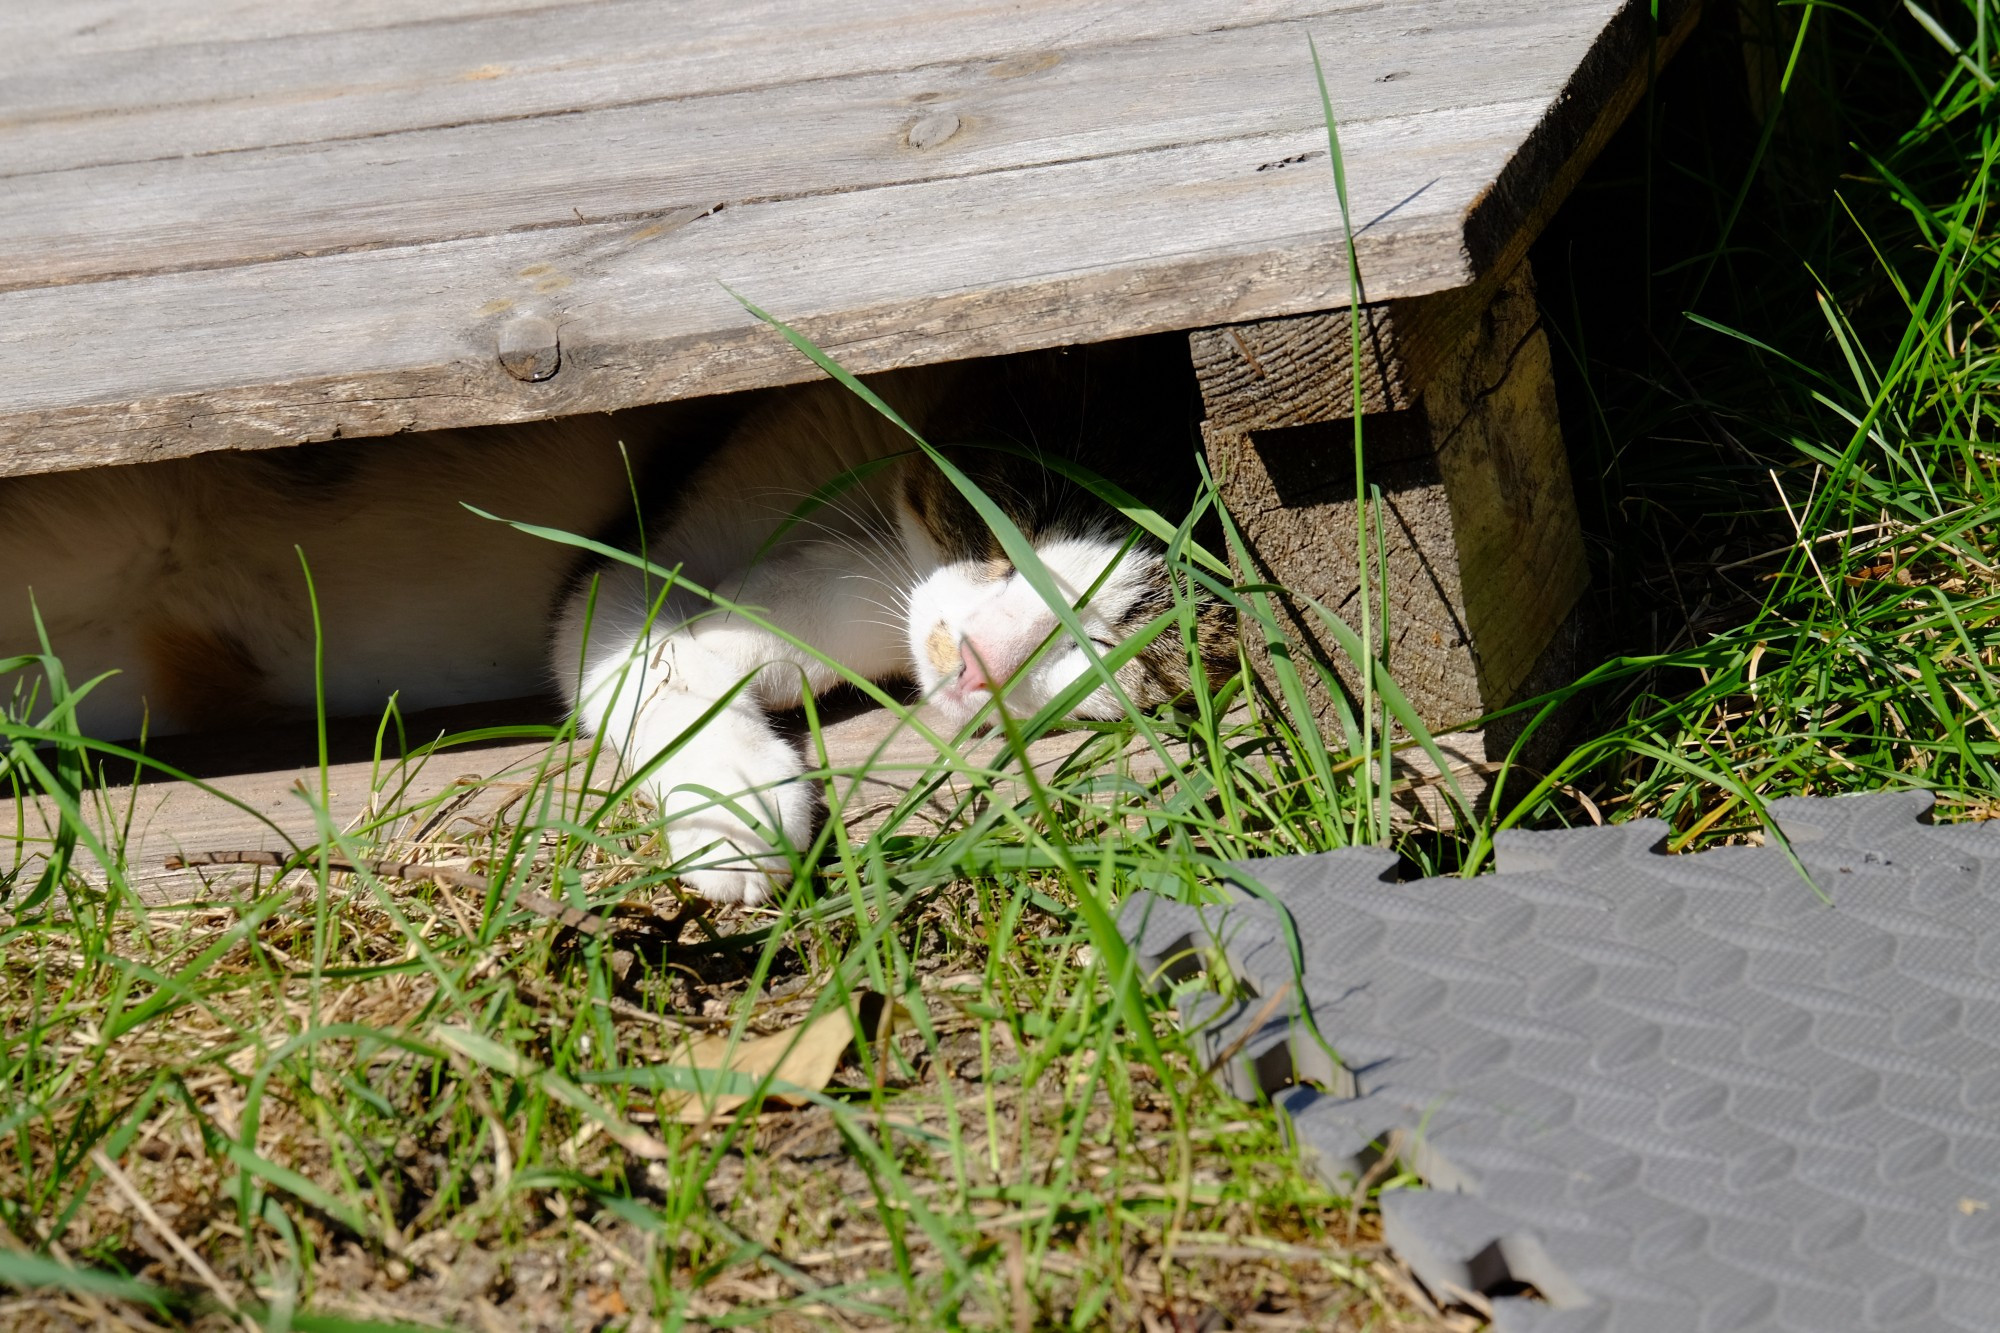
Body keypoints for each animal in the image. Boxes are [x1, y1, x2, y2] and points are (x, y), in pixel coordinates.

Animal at [0, 342, 1224, 904]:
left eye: (1128, 639)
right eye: (1008, 516)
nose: (979, 662)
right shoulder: (629, 558)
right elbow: (639, 646)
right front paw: (733, 808)